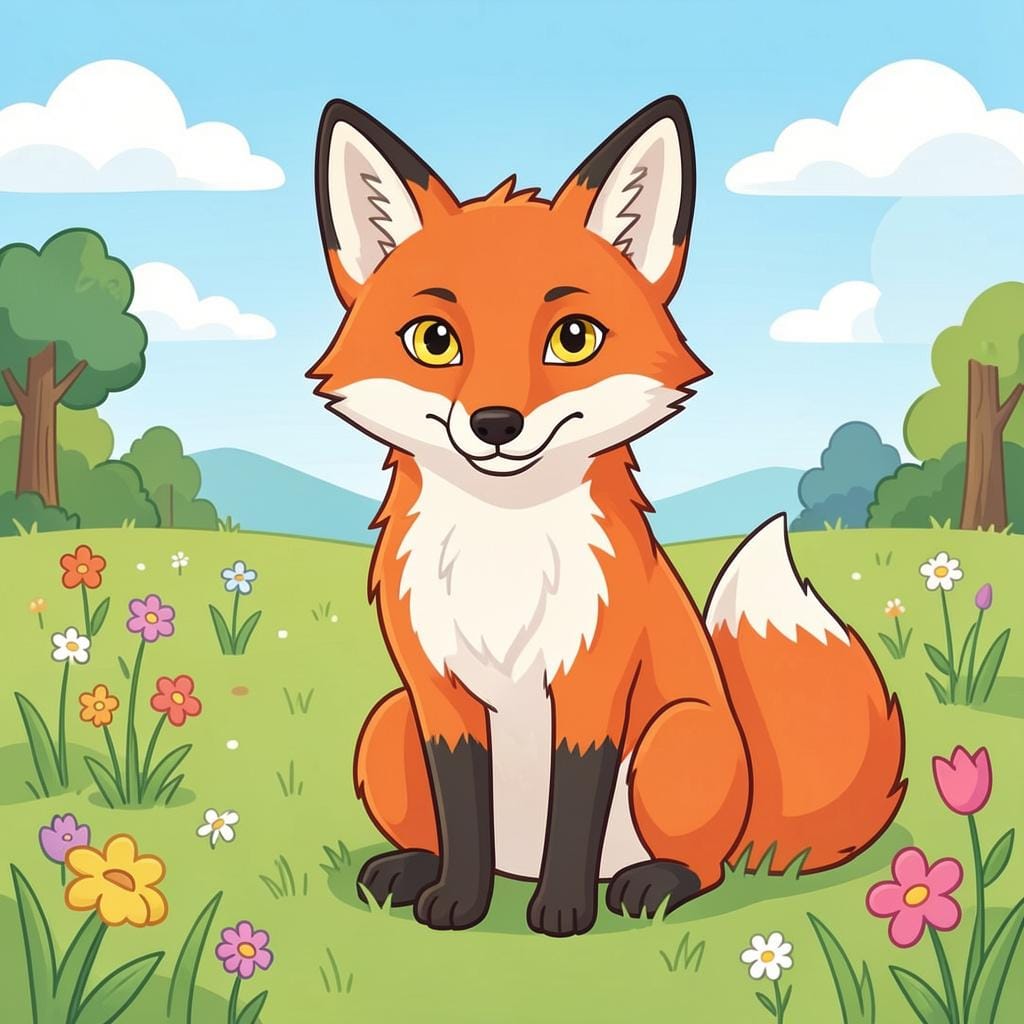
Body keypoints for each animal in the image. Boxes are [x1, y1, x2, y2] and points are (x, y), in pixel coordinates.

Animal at [308, 96, 907, 937]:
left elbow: (575, 810)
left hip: (674, 741)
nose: (496, 424)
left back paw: (648, 883)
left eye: (573, 339)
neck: (503, 552)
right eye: (434, 341)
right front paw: (458, 902)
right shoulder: (436, 695)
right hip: (387, 723)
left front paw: (563, 912)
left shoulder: (593, 685)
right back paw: (415, 868)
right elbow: (462, 812)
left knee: (705, 868)